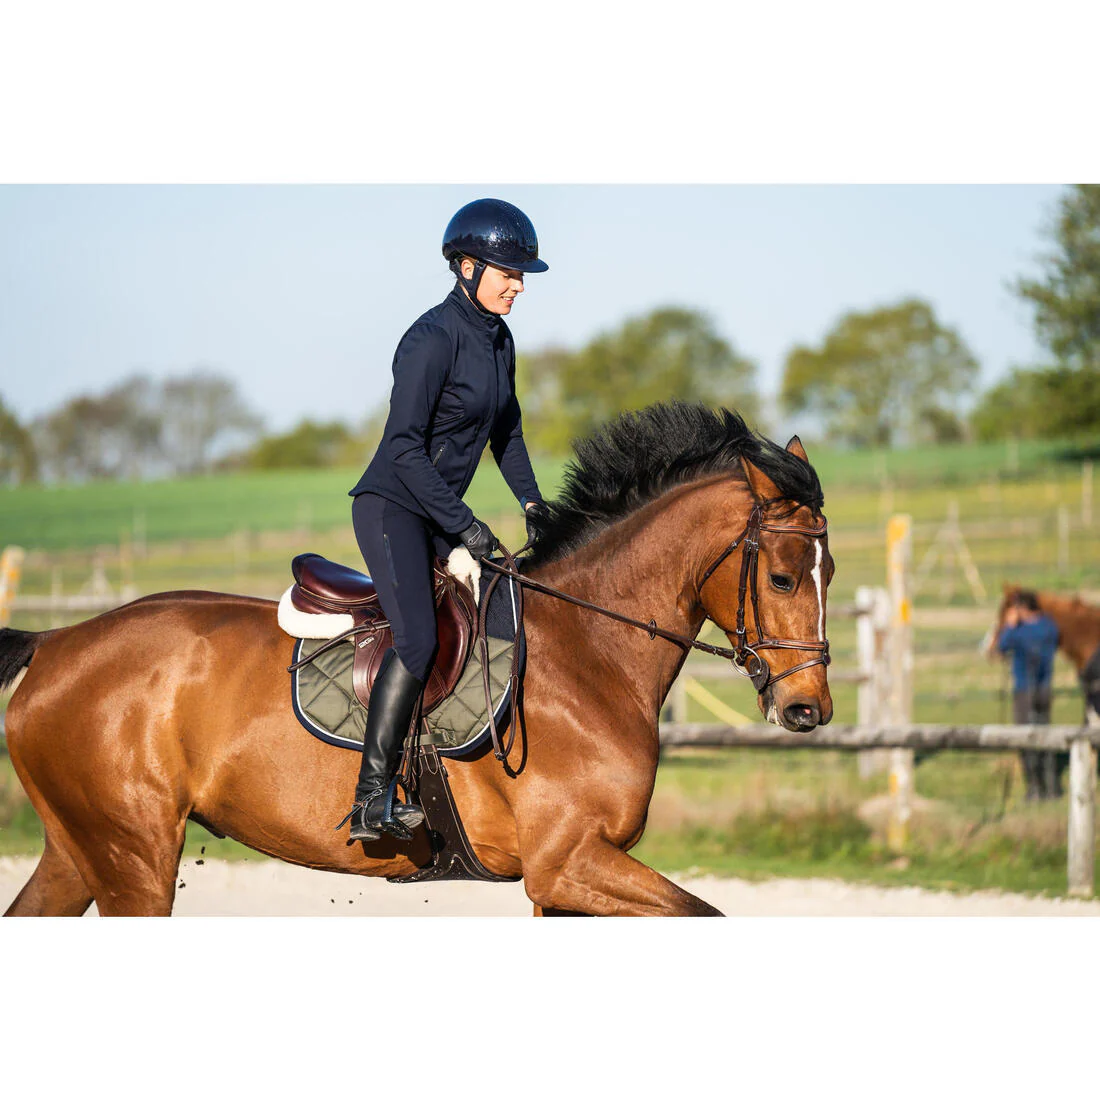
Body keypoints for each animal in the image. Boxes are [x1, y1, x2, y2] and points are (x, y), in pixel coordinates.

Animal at [1, 403, 833, 917]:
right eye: (783, 578)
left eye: (830, 572)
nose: (809, 710)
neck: (586, 651)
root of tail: (55, 643)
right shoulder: (568, 862)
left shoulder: (565, 881)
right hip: (133, 855)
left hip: (82, 849)